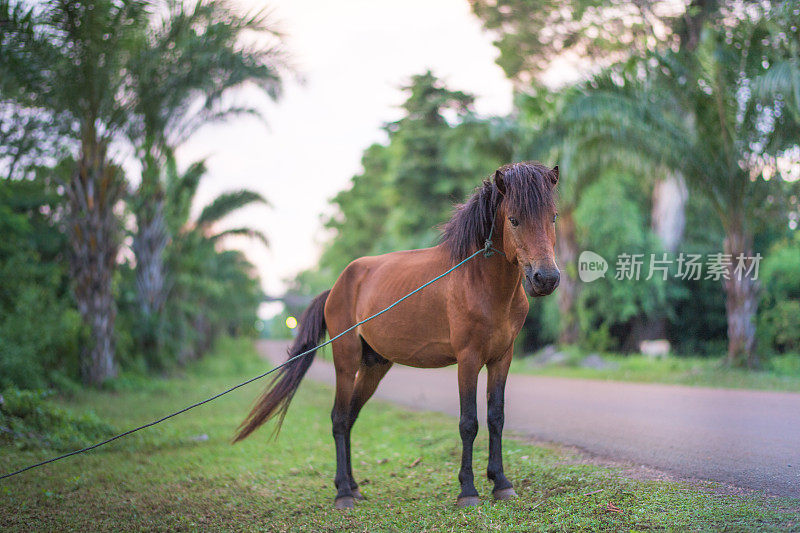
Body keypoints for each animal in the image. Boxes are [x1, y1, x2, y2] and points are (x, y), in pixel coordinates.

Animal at [234, 161, 560, 508]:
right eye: (513, 219)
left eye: (553, 217)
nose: (545, 279)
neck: (479, 282)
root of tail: (337, 286)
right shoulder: (468, 360)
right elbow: (468, 422)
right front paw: (468, 491)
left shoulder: (502, 358)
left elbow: (495, 418)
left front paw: (501, 483)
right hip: (346, 362)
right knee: (339, 419)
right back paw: (343, 493)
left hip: (374, 366)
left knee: (350, 417)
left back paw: (354, 486)